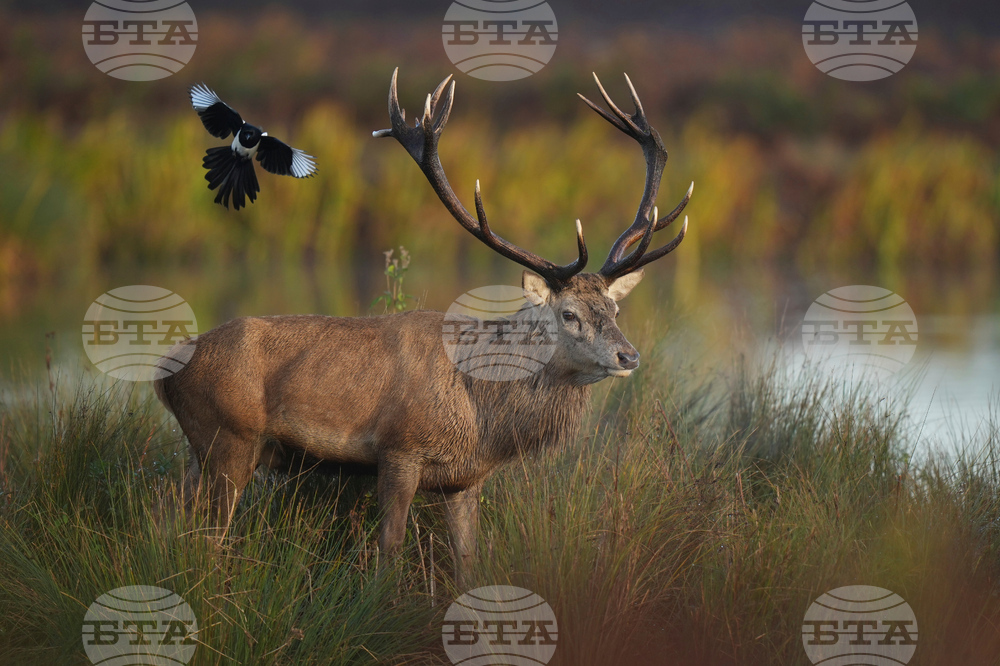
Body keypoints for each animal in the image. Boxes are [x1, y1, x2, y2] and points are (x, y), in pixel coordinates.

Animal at [153, 68, 692, 588]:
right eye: (569, 314)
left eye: (615, 310)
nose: (629, 356)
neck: (480, 413)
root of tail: (163, 372)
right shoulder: (399, 451)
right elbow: (388, 552)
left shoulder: (465, 479)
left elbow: (469, 561)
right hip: (229, 437)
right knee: (208, 537)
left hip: (202, 448)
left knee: (173, 519)